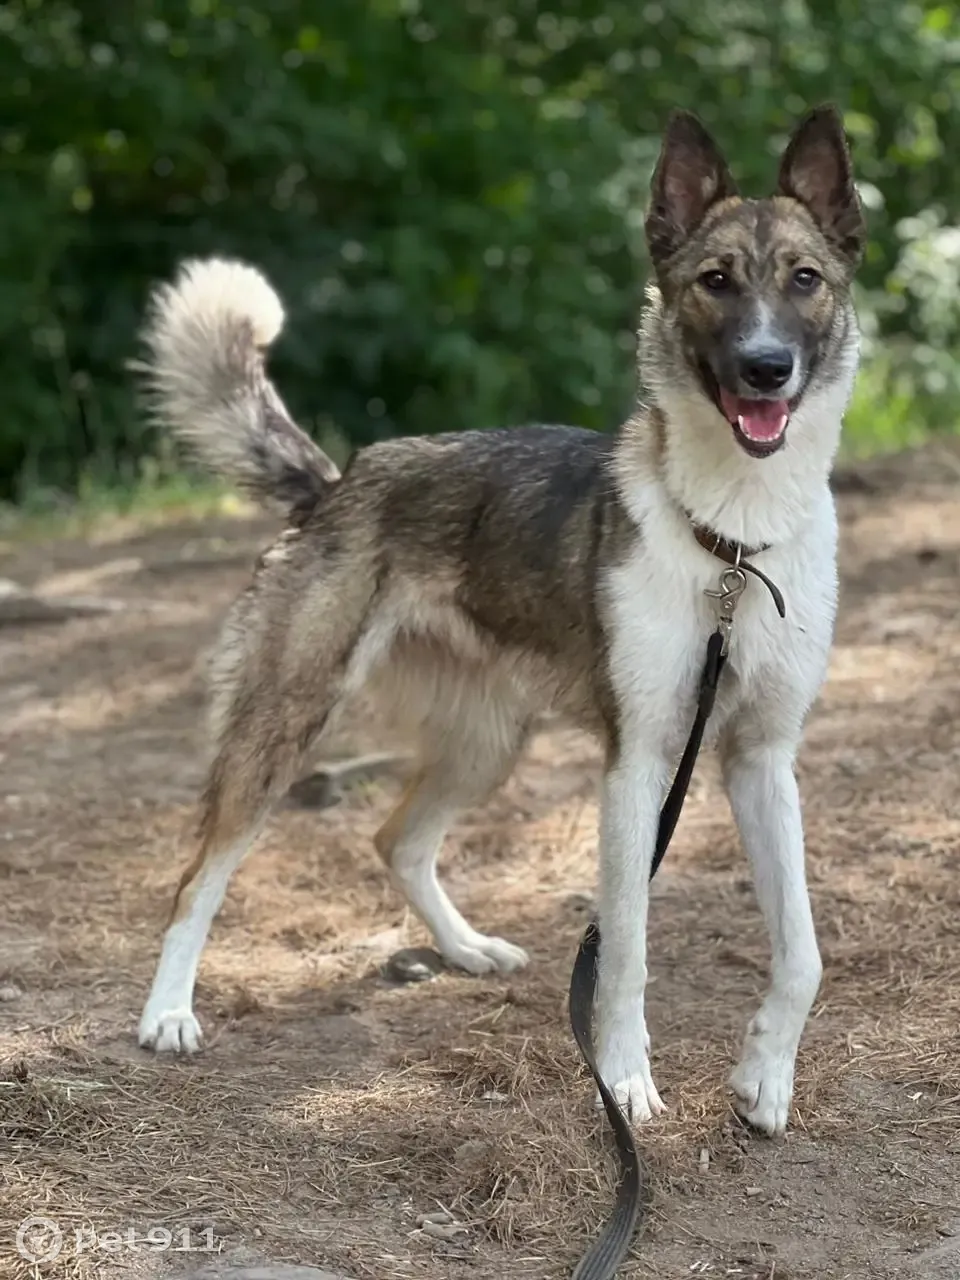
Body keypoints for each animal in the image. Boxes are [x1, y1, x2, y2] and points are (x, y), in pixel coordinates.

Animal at [133, 104, 865, 1136]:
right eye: (715, 282)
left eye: (806, 280)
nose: (767, 369)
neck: (732, 540)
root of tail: (335, 484)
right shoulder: (639, 767)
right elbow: (626, 951)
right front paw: (624, 1082)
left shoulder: (763, 760)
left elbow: (802, 952)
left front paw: (765, 1077)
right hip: (284, 723)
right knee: (197, 878)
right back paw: (167, 1014)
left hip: (487, 742)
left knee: (397, 841)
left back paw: (467, 949)